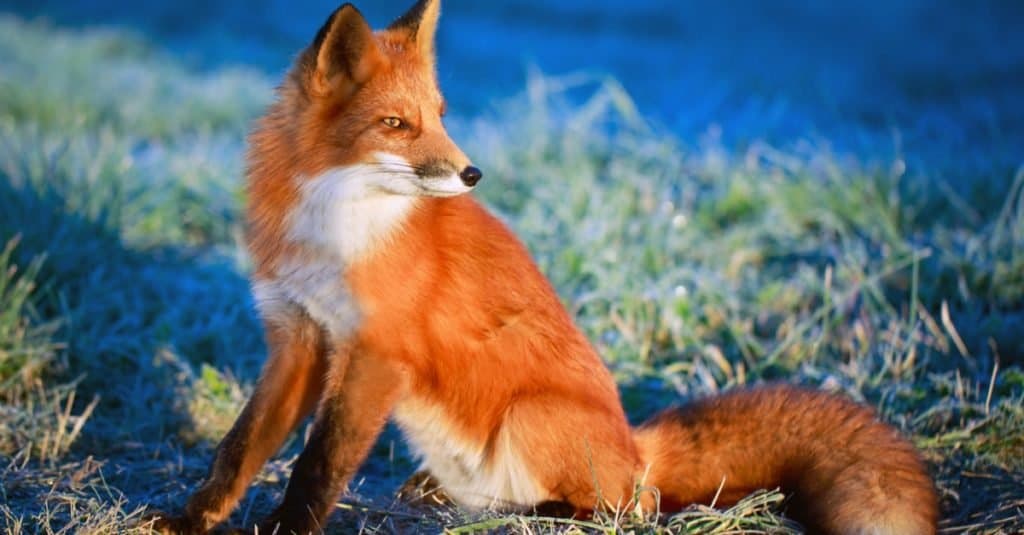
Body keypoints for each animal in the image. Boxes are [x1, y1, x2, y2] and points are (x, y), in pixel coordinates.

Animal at [148, 1, 939, 534]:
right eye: (396, 125)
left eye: (440, 113)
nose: (471, 173)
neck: (334, 227)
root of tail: (635, 443)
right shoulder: (297, 338)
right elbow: (239, 447)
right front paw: (191, 519)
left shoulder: (375, 353)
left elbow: (321, 463)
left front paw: (286, 527)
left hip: (532, 415)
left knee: (631, 508)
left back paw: (558, 509)